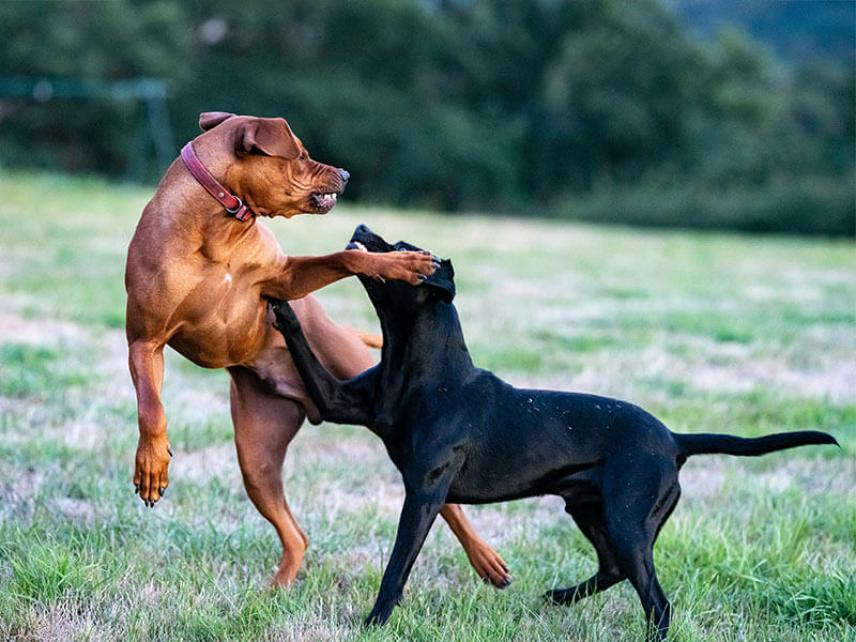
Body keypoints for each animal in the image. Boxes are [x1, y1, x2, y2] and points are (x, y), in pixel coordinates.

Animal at [124, 111, 512, 584]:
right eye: (302, 155)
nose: (345, 174)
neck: (219, 227)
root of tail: (305, 400)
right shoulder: (144, 342)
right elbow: (152, 408)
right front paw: (152, 464)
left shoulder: (285, 278)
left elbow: (347, 257)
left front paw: (398, 263)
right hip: (256, 459)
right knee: (296, 534)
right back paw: (277, 588)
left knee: (449, 503)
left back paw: (485, 558)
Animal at [270, 224, 840, 636]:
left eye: (404, 248)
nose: (362, 225)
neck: (421, 368)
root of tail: (675, 440)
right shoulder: (338, 403)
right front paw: (279, 302)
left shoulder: (425, 491)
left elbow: (397, 567)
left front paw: (373, 623)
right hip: (590, 510)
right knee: (614, 570)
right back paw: (560, 596)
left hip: (628, 519)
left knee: (657, 602)